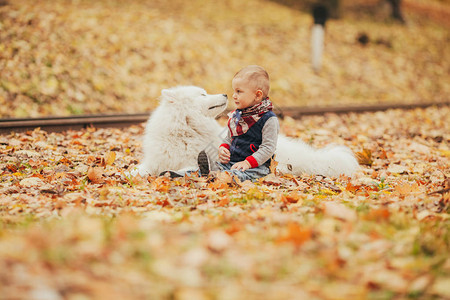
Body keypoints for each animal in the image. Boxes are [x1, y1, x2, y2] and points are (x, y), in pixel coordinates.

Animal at [132, 85, 360, 177]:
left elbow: (188, 167)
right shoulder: (156, 160)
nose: (225, 94)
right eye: (202, 94)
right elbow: (138, 169)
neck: (186, 129)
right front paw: (132, 173)